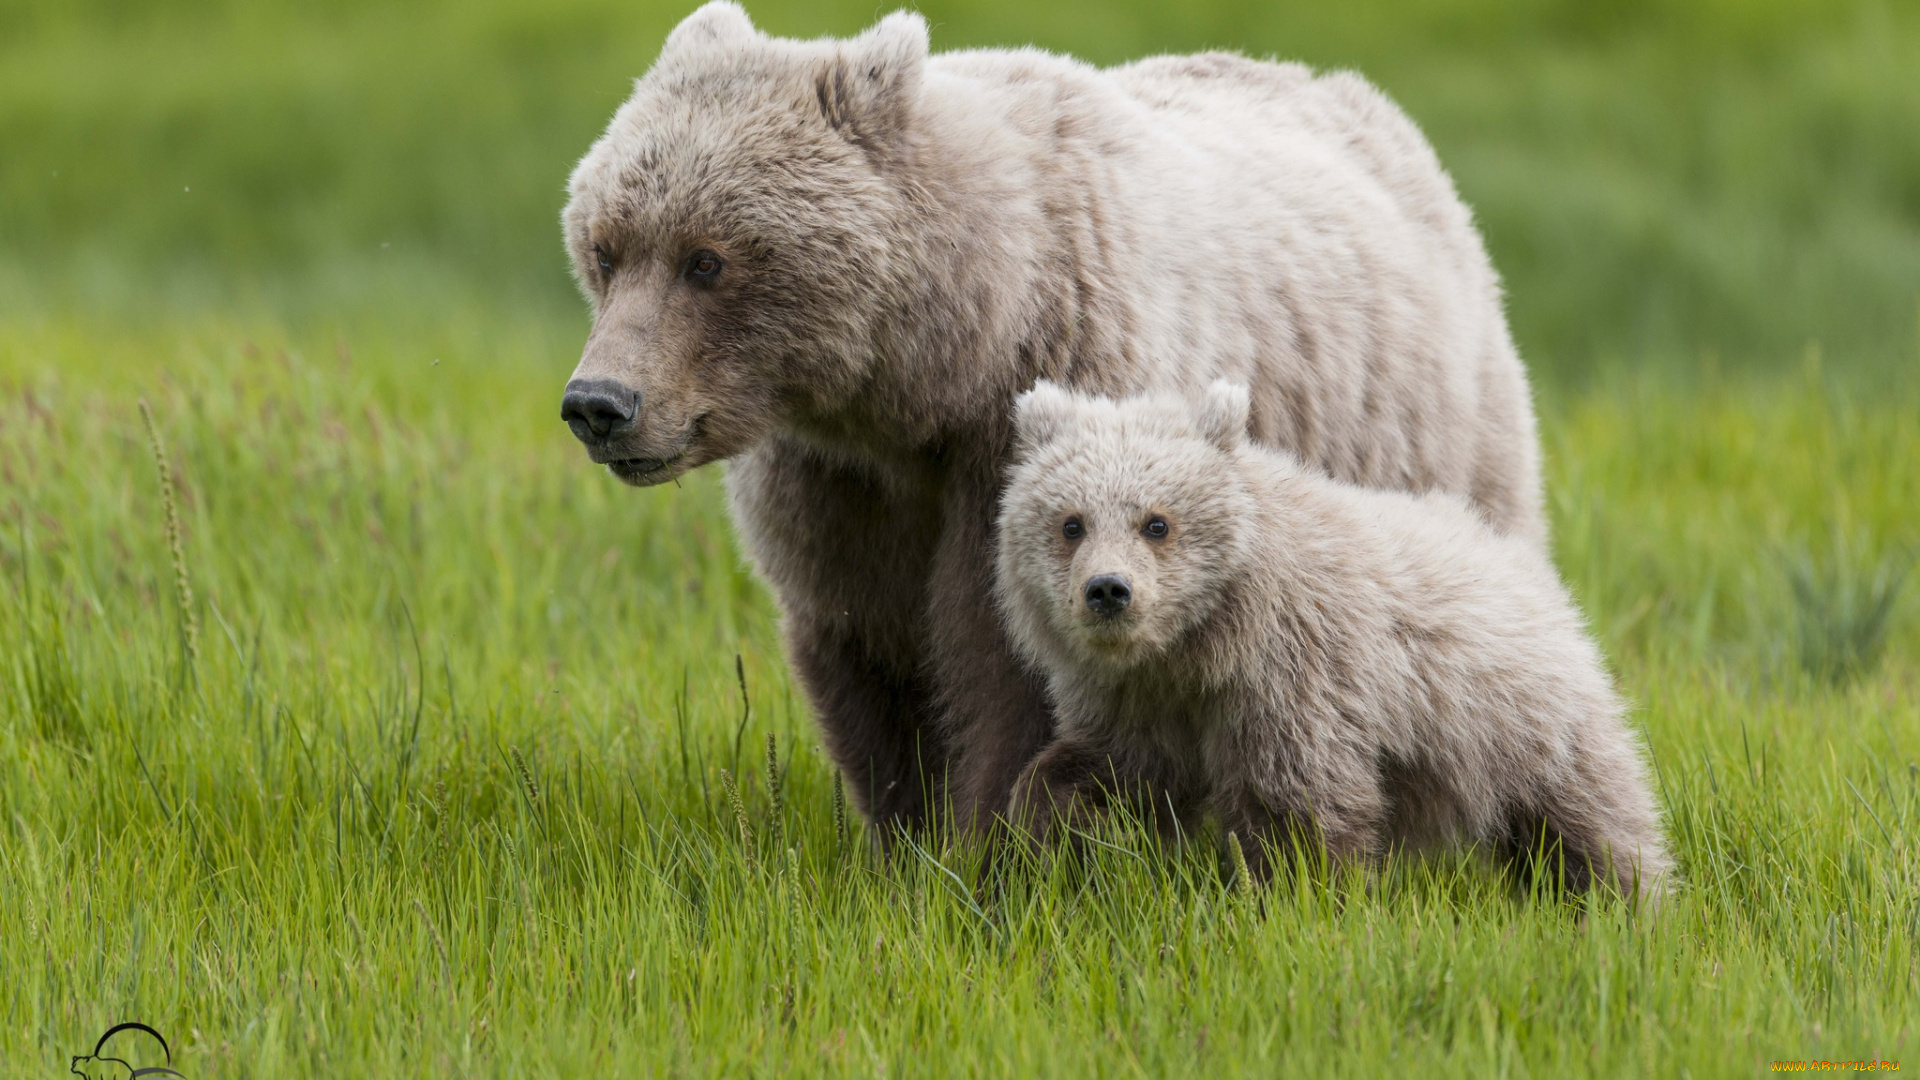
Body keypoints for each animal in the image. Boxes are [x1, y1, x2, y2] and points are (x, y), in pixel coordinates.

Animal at [560, 2, 1543, 834]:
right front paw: (908, 839)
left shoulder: (1054, 403)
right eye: (606, 248)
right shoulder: (841, 485)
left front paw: (987, 847)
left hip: (1429, 438)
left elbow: (1022, 662)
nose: (599, 404)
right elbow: (868, 646)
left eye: (706, 260)